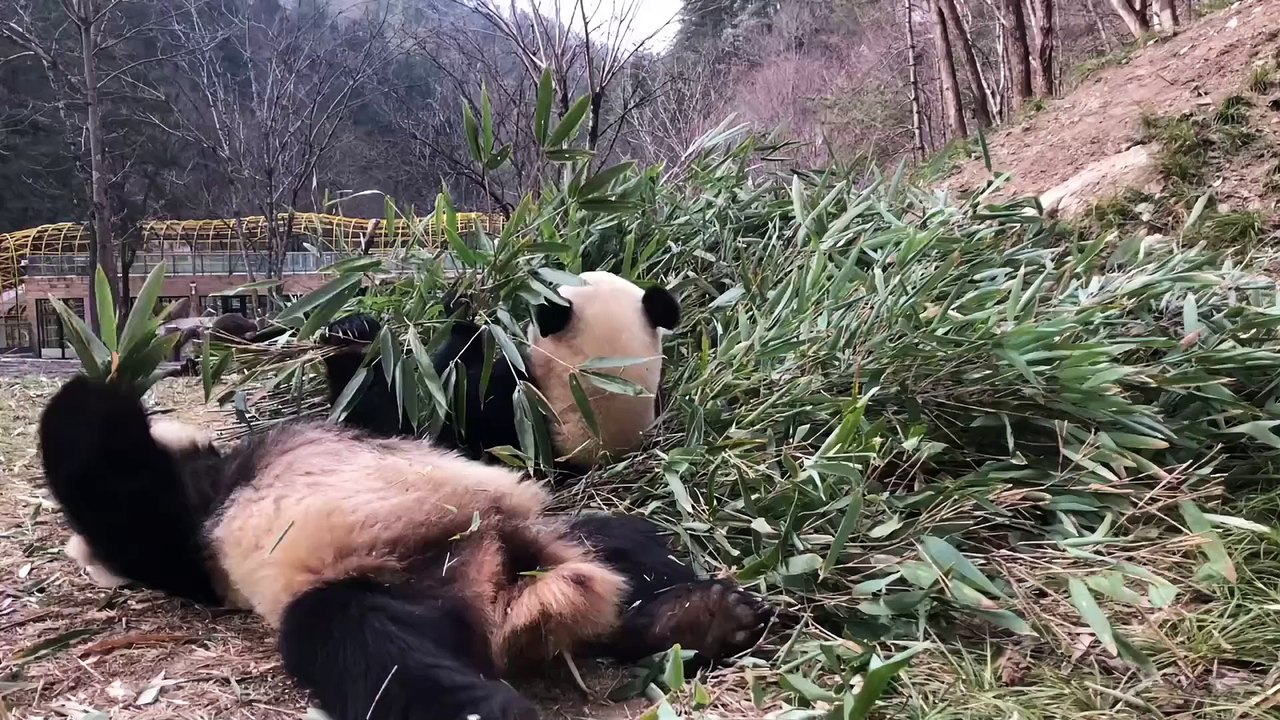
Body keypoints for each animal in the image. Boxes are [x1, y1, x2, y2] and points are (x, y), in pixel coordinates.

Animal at [39, 375, 772, 720]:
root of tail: (507, 591)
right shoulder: (193, 537)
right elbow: (131, 512)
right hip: (390, 586)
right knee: (369, 646)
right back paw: (492, 710)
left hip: (556, 536)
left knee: (631, 550)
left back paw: (707, 616)